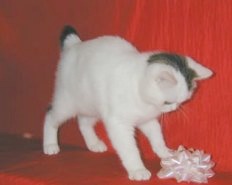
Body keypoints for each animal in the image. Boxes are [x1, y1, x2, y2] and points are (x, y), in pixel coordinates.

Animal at [43, 25, 212, 181]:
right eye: (168, 102)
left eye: (182, 101)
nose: (174, 108)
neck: (138, 89)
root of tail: (75, 45)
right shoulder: (118, 124)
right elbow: (129, 149)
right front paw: (137, 169)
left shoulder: (147, 120)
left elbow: (157, 136)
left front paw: (166, 153)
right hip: (67, 102)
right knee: (50, 116)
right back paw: (50, 145)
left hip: (91, 106)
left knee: (83, 122)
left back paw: (94, 143)